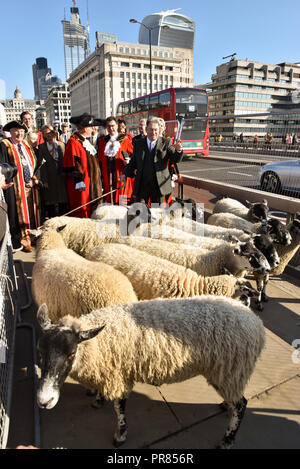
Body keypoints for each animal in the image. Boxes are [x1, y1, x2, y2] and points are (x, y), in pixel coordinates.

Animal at [37, 296, 264, 450]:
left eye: (71, 354)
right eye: (40, 350)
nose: (44, 400)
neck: (101, 342)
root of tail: (255, 321)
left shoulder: (120, 374)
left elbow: (119, 408)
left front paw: (120, 436)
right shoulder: (109, 372)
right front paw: (99, 399)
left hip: (232, 369)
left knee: (241, 405)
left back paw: (227, 440)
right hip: (227, 374)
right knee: (235, 400)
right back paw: (225, 404)